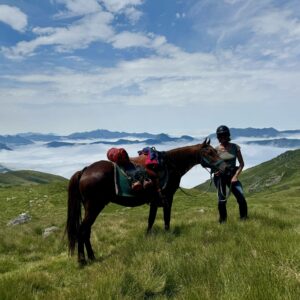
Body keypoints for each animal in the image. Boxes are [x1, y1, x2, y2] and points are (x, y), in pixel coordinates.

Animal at [66, 138, 227, 262]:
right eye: (209, 152)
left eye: (215, 151)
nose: (224, 168)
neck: (170, 165)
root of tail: (85, 171)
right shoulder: (168, 198)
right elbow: (166, 219)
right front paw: (167, 235)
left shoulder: (155, 201)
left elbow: (151, 220)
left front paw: (148, 237)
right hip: (94, 207)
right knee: (82, 230)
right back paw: (82, 260)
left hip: (91, 208)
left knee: (86, 231)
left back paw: (91, 257)